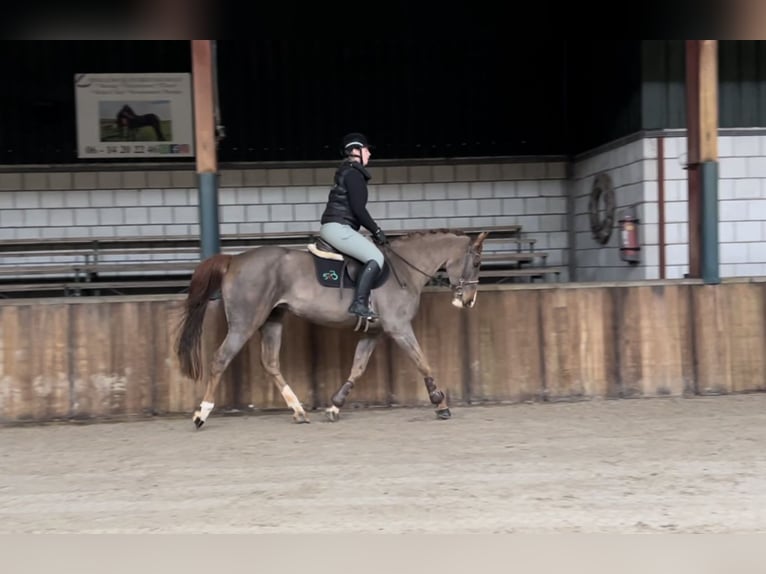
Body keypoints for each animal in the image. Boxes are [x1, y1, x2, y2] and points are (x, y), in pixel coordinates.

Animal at [174, 228, 488, 428]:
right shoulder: (399, 327)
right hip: (245, 322)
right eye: (476, 261)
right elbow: (422, 362)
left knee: (270, 363)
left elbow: (357, 368)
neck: (405, 270)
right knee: (220, 359)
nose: (469, 301)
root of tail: (234, 259)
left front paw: (335, 406)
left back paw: (299, 411)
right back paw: (202, 414)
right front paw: (441, 405)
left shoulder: (374, 332)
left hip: (272, 319)